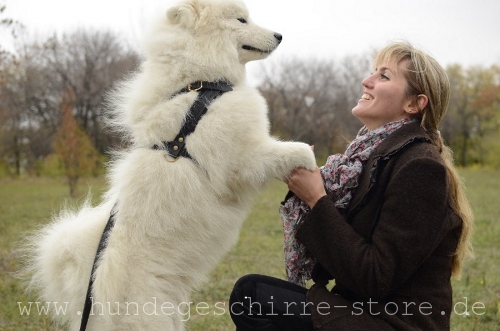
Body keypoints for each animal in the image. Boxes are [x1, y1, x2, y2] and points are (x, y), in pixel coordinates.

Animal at [23, 0, 314, 330]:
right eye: (242, 20)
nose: (279, 36)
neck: (199, 86)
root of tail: (93, 300)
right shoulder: (242, 158)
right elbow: (287, 152)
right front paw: (311, 163)